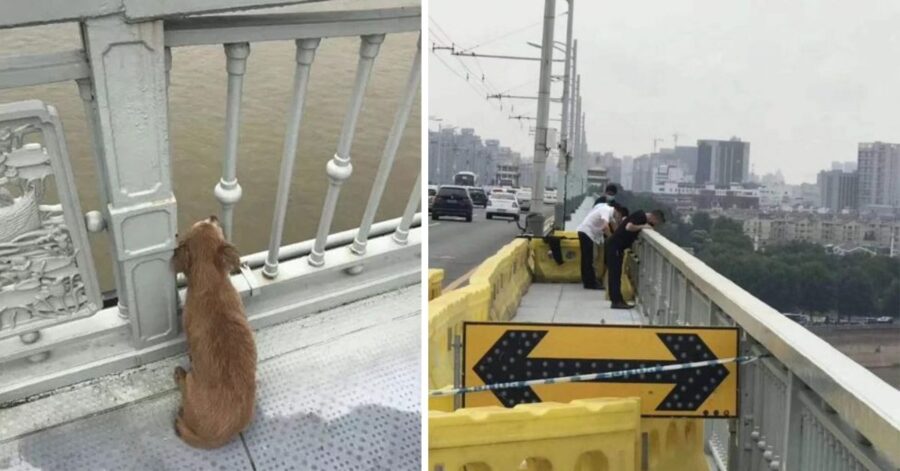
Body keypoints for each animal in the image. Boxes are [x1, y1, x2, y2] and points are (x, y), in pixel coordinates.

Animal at [171, 218, 256, 450]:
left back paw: (179, 375)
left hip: (191, 385)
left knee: (184, 385)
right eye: (214, 226)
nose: (213, 215)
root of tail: (216, 437)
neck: (210, 281)